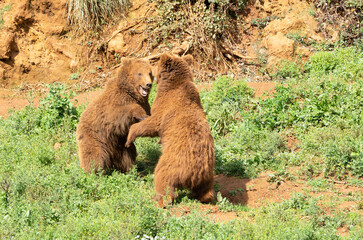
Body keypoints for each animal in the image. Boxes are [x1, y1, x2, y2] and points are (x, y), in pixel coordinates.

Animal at [126, 52, 215, 206]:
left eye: (154, 65)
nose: (150, 80)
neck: (173, 84)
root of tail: (195, 172)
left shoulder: (164, 106)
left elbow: (152, 124)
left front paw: (129, 137)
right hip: (208, 173)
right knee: (206, 190)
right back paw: (205, 196)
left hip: (173, 162)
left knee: (163, 178)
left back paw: (159, 200)